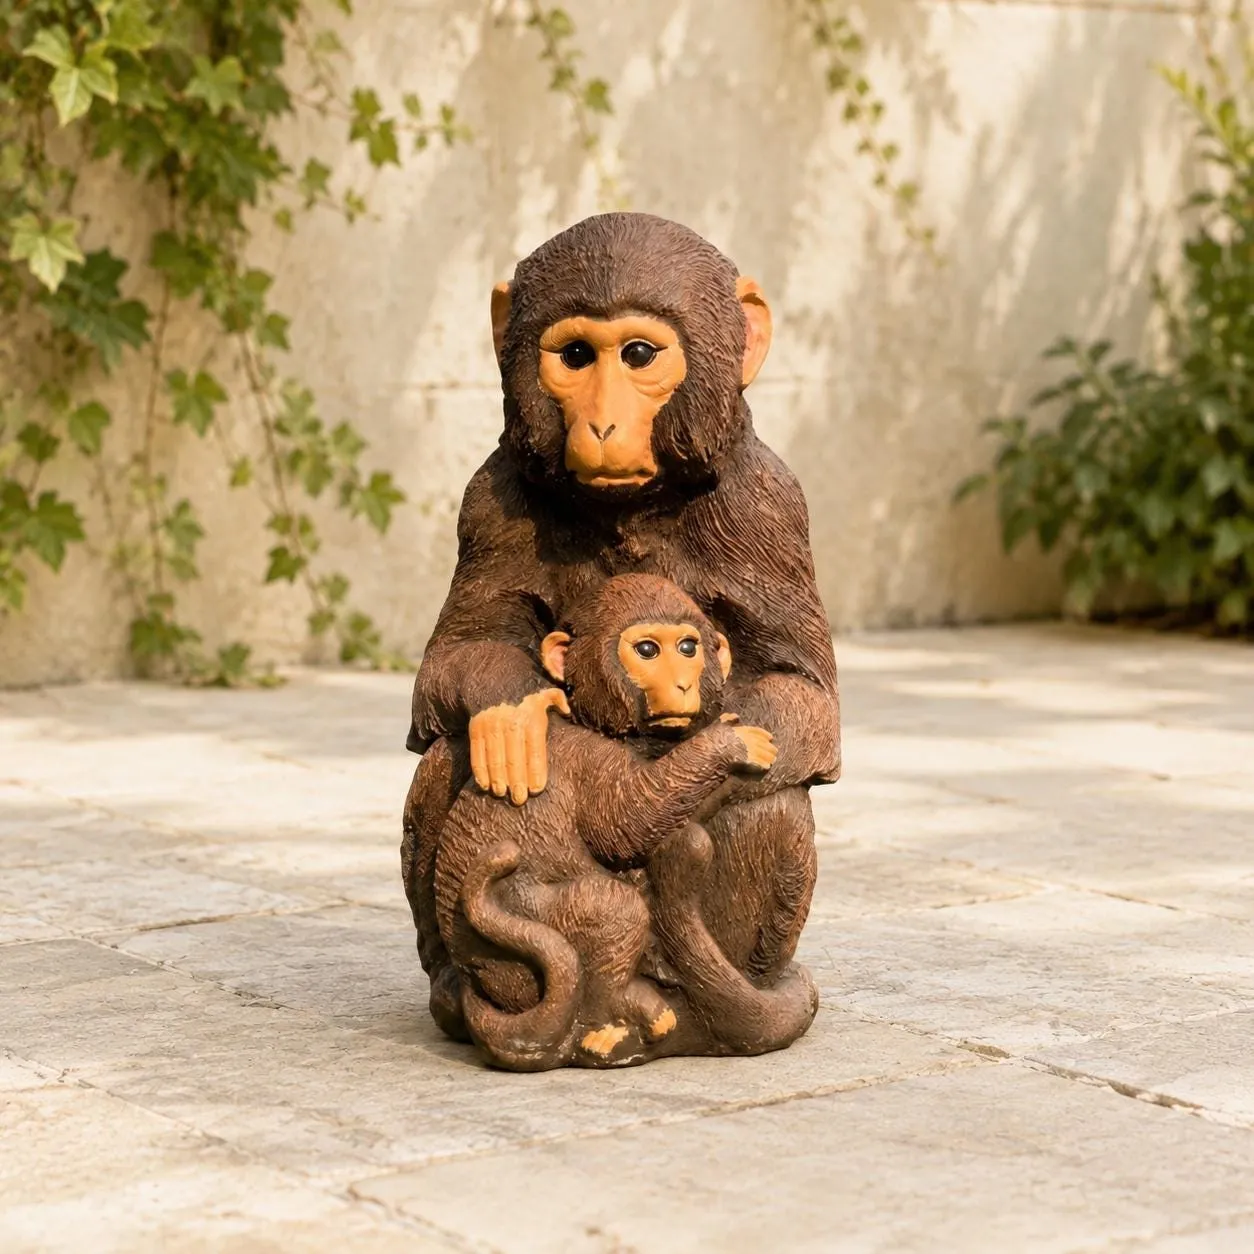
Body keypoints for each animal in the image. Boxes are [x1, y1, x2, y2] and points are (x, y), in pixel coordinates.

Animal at [434, 574, 780, 1071]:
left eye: (688, 647)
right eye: (648, 650)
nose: (682, 684)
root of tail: (481, 980)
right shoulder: (588, 761)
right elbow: (627, 821)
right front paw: (729, 744)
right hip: (519, 922)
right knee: (611, 909)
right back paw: (617, 1014)